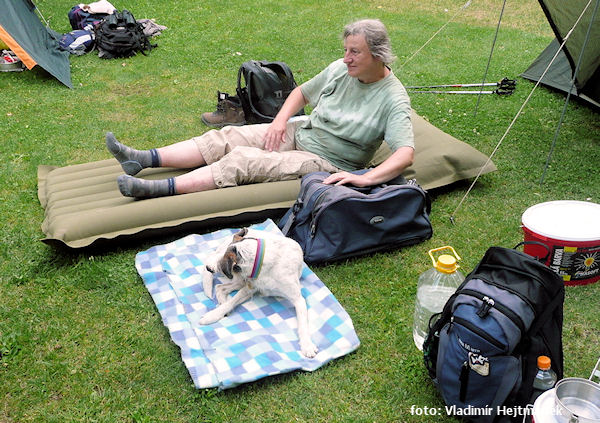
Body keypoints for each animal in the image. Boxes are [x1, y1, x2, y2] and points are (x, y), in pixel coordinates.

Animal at [199, 227, 318, 360]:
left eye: (222, 262)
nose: (208, 268)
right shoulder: (250, 286)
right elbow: (231, 302)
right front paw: (213, 315)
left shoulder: (297, 299)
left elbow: (303, 324)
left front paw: (307, 345)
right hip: (239, 279)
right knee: (220, 287)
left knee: (220, 287)